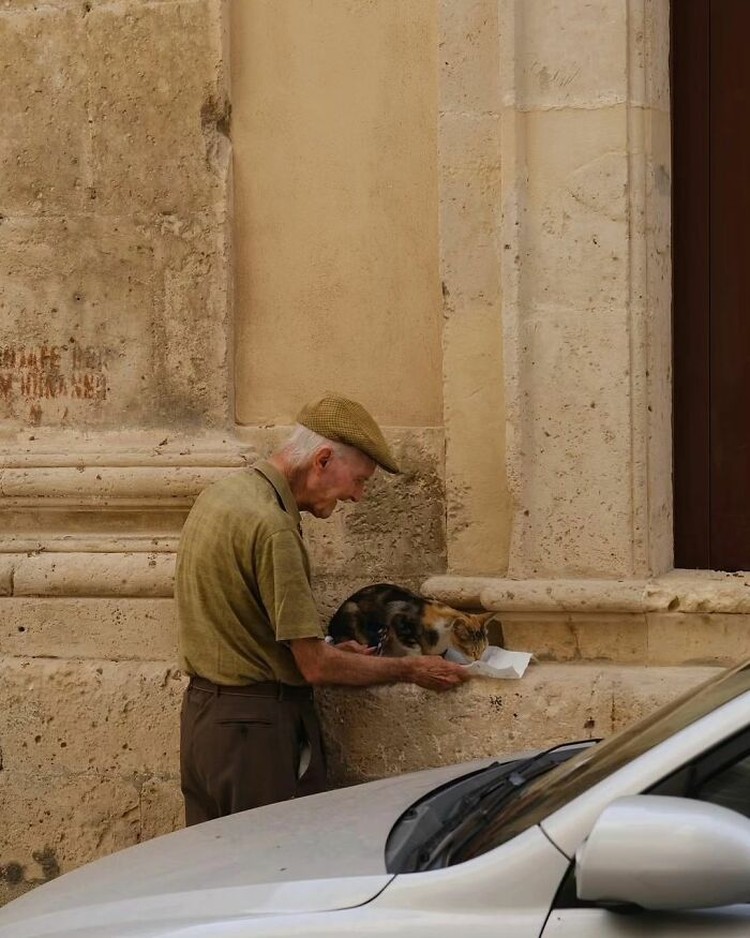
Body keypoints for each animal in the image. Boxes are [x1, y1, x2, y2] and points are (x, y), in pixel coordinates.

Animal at [326, 576, 496, 660]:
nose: (477, 660)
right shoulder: (400, 620)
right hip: (354, 614)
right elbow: (415, 648)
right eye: (472, 651)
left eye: (483, 649)